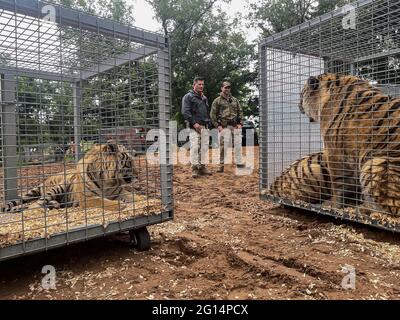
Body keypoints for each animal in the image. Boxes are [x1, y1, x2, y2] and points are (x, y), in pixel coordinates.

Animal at [1, 140, 138, 212]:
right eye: (130, 162)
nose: (137, 175)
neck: (108, 181)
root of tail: (44, 181)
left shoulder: (120, 192)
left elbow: (134, 196)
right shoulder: (87, 198)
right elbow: (103, 201)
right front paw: (120, 205)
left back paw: (54, 205)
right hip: (59, 186)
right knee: (36, 204)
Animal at [298, 73, 400, 215]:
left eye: (301, 93)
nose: (298, 105)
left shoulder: (334, 151)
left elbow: (338, 183)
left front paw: (334, 205)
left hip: (375, 163)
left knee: (390, 209)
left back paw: (361, 209)